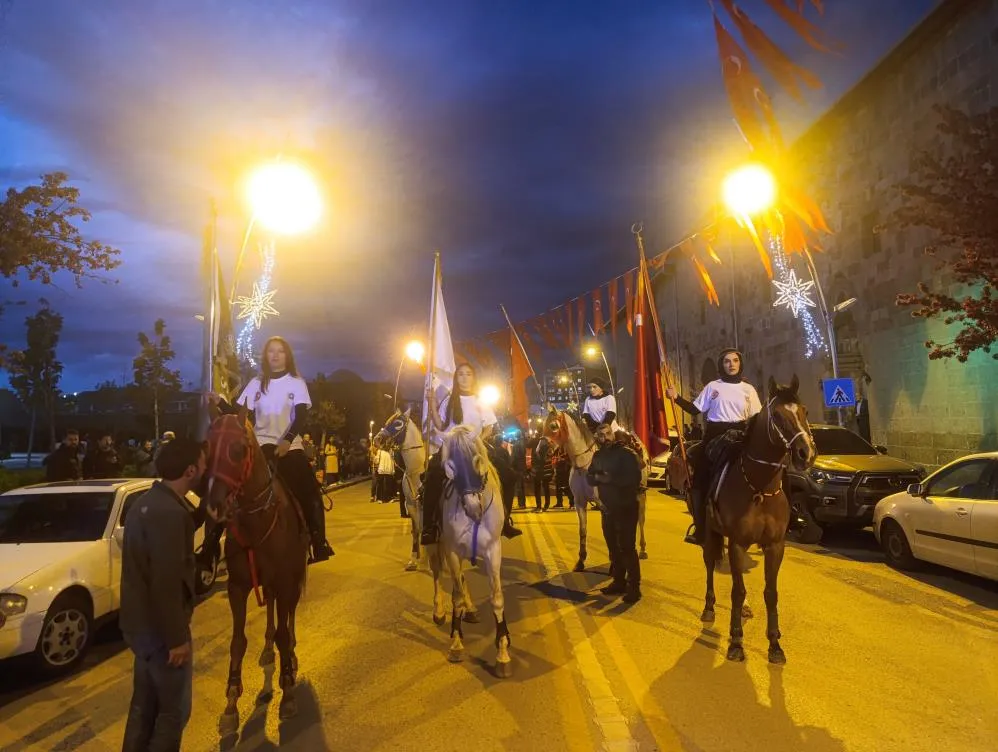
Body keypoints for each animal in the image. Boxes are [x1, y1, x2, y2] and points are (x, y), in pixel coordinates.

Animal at [205, 414, 310, 732]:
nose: (214, 506)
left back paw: (291, 654)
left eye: (238, 449)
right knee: (273, 611)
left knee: (289, 617)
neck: (258, 520)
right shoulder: (237, 587)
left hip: (292, 580)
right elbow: (237, 641)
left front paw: (288, 691)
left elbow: (285, 634)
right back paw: (266, 648)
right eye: (207, 446)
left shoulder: (286, 581)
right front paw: (230, 702)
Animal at [430, 426, 512, 680]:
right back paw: (440, 611)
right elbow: (456, 597)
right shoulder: (453, 551)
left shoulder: (493, 550)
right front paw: (456, 643)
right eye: (450, 466)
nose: (474, 508)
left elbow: (497, 598)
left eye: (478, 460)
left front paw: (502, 653)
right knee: (437, 571)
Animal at [548, 412, 656, 568]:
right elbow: (583, 530)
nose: (541, 449)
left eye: (553, 426)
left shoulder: (605, 504)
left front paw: (614, 558)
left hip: (640, 495)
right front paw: (581, 560)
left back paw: (642, 549)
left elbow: (612, 530)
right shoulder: (580, 503)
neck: (584, 465)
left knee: (640, 520)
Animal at [700, 376, 816, 664]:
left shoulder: (775, 545)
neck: (759, 487)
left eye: (805, 411)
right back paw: (708, 607)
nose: (806, 453)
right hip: (710, 533)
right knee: (710, 564)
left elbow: (770, 592)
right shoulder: (738, 543)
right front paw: (736, 641)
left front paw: (775, 644)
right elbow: (737, 590)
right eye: (777, 415)